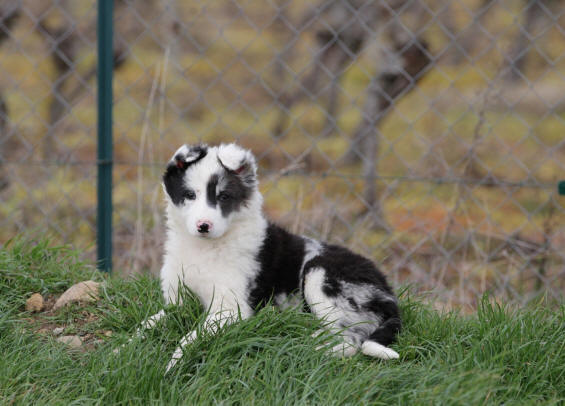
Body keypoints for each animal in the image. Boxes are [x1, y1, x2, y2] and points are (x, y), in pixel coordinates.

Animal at [131, 142, 400, 372]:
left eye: (223, 197)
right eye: (190, 195)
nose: (203, 226)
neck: (204, 248)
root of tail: (388, 293)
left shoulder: (231, 309)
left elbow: (190, 336)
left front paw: (173, 363)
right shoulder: (177, 303)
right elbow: (146, 323)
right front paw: (124, 348)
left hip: (321, 274)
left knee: (351, 339)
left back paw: (310, 350)